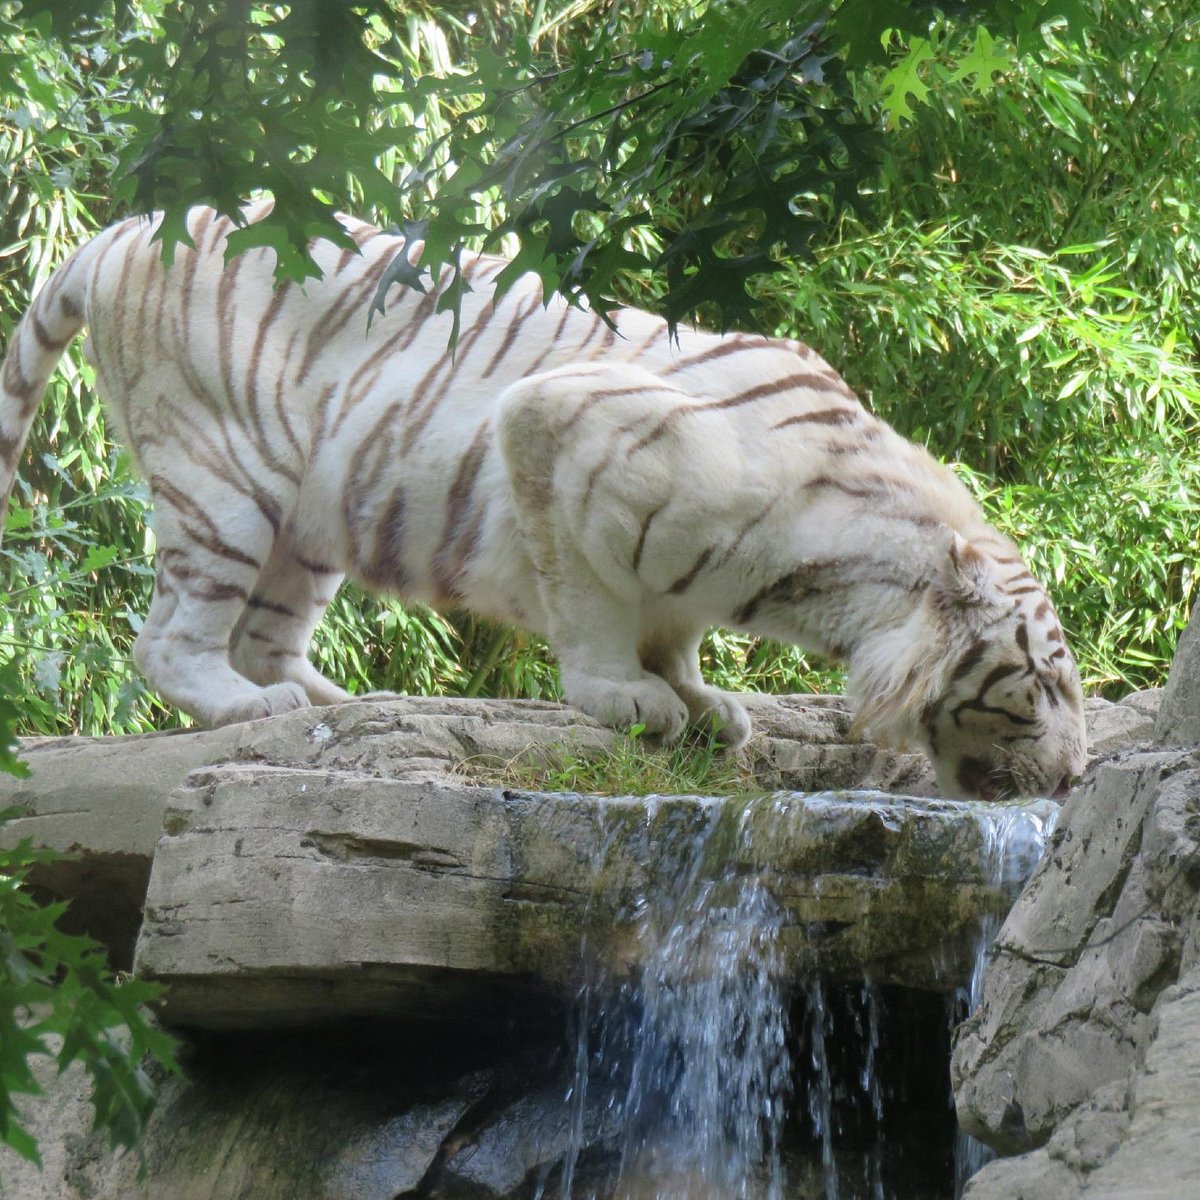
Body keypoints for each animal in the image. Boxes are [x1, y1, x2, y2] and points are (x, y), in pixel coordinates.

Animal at [0, 201, 1089, 801]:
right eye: (1042, 684)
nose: (1078, 778)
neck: (828, 591)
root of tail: (119, 229)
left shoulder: (690, 579)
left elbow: (675, 628)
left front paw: (704, 702)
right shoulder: (554, 421)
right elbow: (594, 600)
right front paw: (627, 696)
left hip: (308, 519)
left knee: (268, 630)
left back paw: (344, 704)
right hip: (226, 475)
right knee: (170, 639)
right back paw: (243, 705)